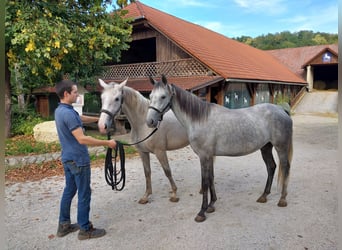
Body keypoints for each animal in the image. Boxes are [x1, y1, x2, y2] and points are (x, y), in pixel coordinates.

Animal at [146, 75, 292, 222]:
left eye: (163, 96)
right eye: (150, 96)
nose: (150, 121)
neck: (200, 119)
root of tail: (281, 110)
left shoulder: (204, 156)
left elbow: (205, 182)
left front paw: (201, 212)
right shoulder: (210, 156)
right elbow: (211, 178)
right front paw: (211, 205)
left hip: (281, 147)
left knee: (285, 167)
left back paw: (282, 199)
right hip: (266, 147)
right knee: (271, 167)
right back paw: (264, 196)